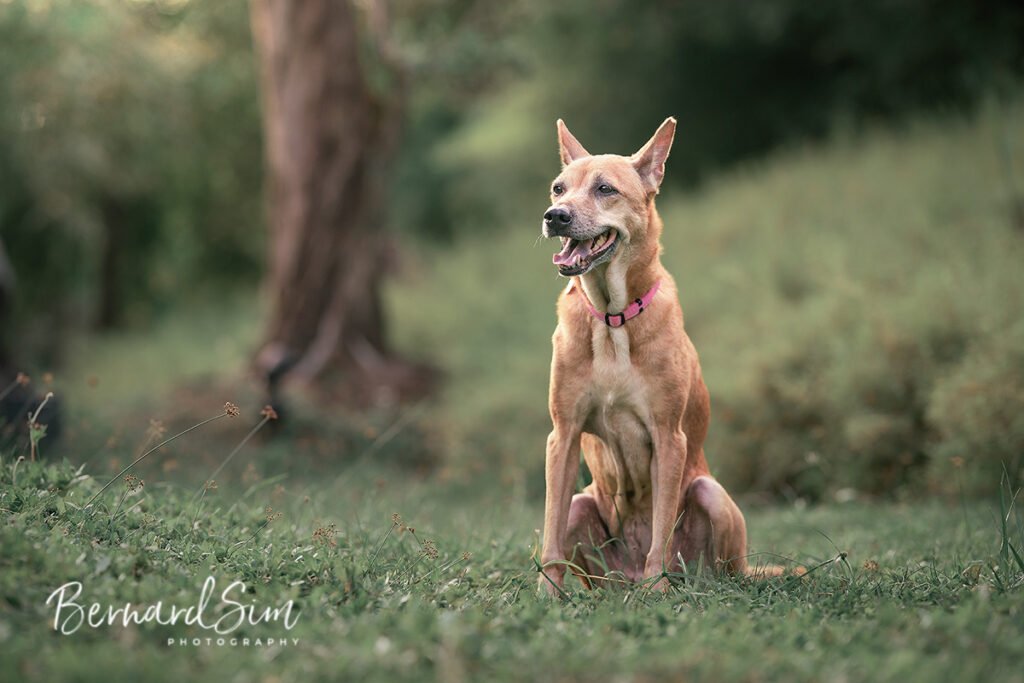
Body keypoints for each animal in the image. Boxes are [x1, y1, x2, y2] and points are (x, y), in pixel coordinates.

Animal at [540, 120, 757, 593]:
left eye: (605, 188)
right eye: (558, 188)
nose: (555, 216)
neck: (612, 318)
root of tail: (628, 575)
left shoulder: (667, 436)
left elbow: (661, 527)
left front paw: (659, 589)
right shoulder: (562, 435)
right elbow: (549, 532)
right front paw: (545, 594)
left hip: (711, 496)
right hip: (582, 506)